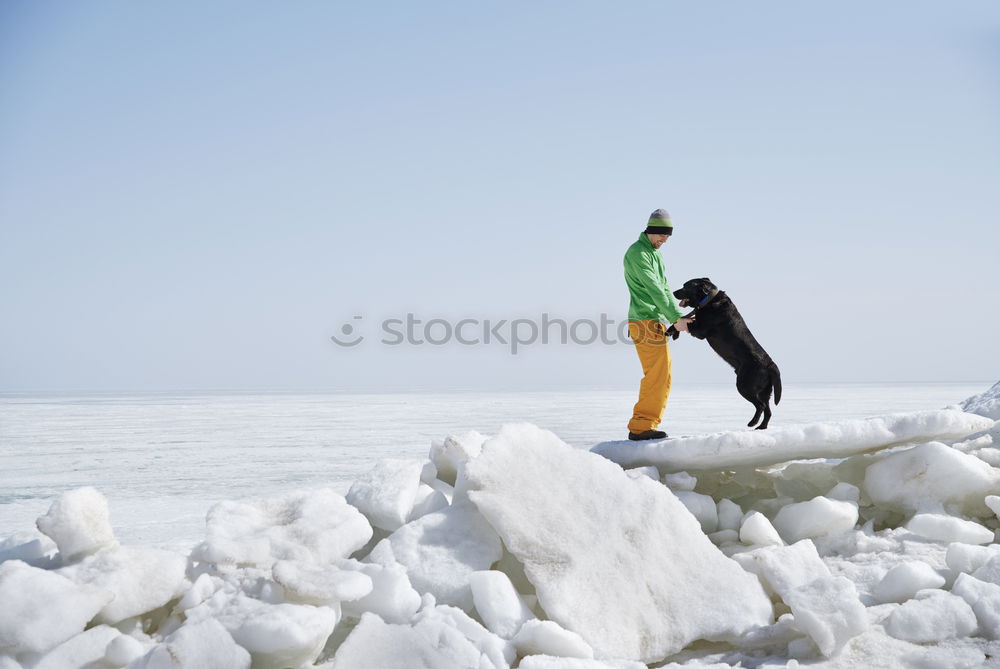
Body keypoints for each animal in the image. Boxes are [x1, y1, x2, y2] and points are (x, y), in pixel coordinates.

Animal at [672, 276, 780, 428]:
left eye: (686, 286)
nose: (674, 292)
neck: (709, 300)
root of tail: (771, 365)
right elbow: (684, 318)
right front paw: (671, 332)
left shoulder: (700, 330)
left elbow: (682, 320)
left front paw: (673, 331)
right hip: (765, 391)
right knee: (768, 410)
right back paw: (761, 427)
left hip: (744, 386)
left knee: (761, 406)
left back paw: (753, 423)